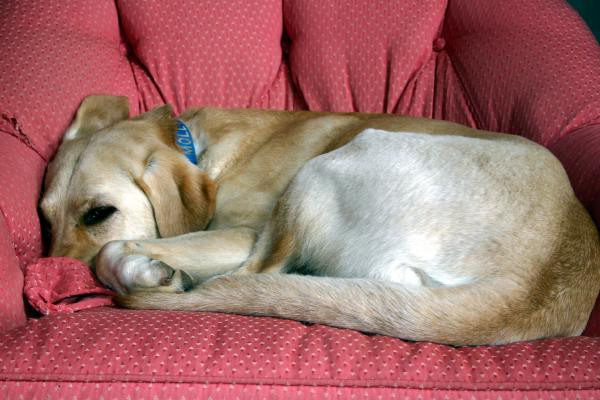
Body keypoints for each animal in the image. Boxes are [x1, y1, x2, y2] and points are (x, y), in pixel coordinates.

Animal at [41, 95, 600, 346]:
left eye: (99, 213)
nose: (49, 277)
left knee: (251, 278)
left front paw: (143, 265)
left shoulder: (241, 232)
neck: (192, 145)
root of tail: (535, 285)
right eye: (45, 220)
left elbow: (114, 250)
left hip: (325, 171)